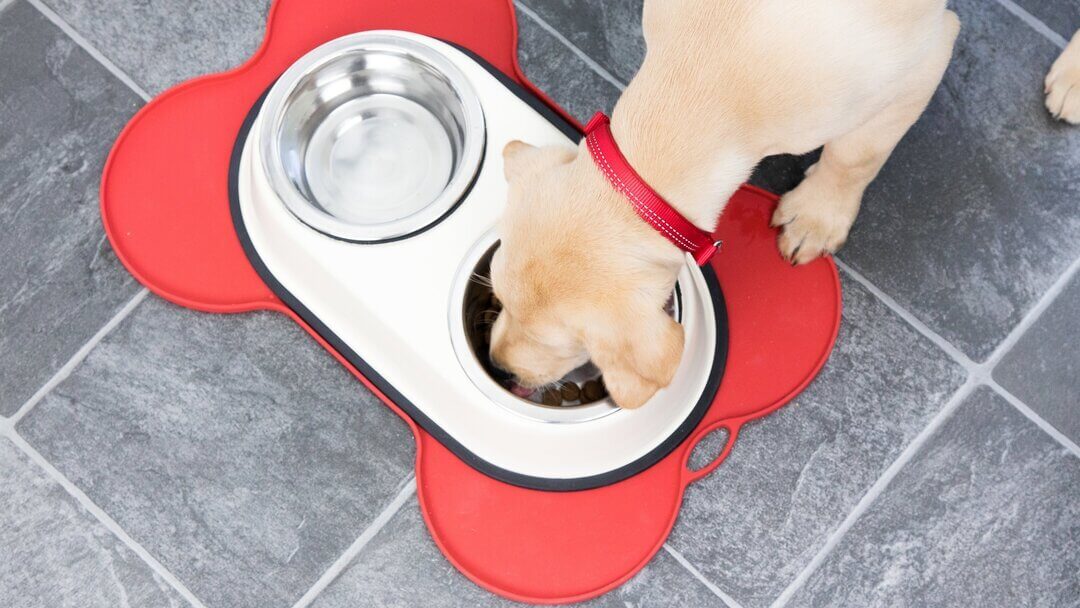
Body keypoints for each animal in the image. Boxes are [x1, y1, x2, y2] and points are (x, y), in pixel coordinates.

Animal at [486, 1, 959, 408]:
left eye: (562, 345)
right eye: (500, 298)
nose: (498, 367)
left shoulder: (926, 60)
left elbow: (854, 156)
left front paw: (816, 217)